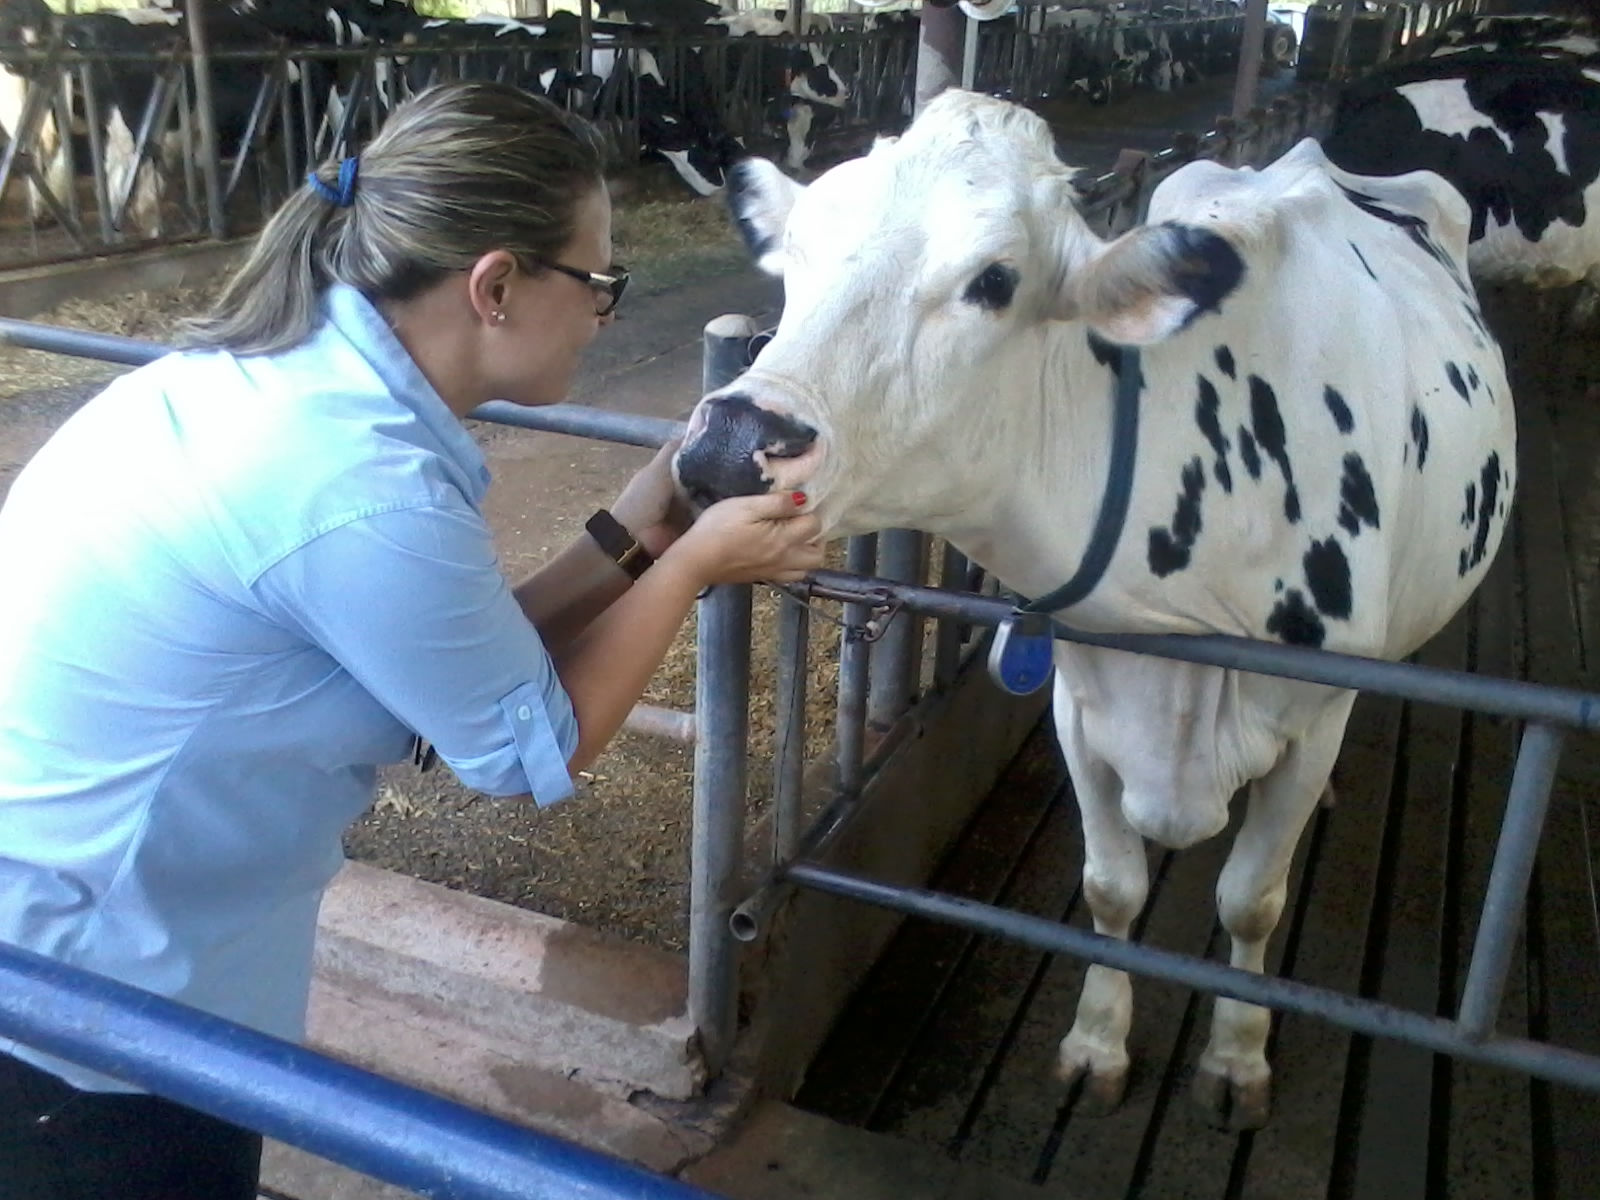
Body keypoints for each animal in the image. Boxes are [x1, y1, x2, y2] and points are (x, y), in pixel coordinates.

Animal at [668, 89, 1516, 1132]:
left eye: (995, 279)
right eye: (796, 256)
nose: (729, 445)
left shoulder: (1311, 718)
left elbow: (1252, 898)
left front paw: (1237, 1059)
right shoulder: (1080, 700)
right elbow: (1111, 888)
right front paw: (1096, 1044)